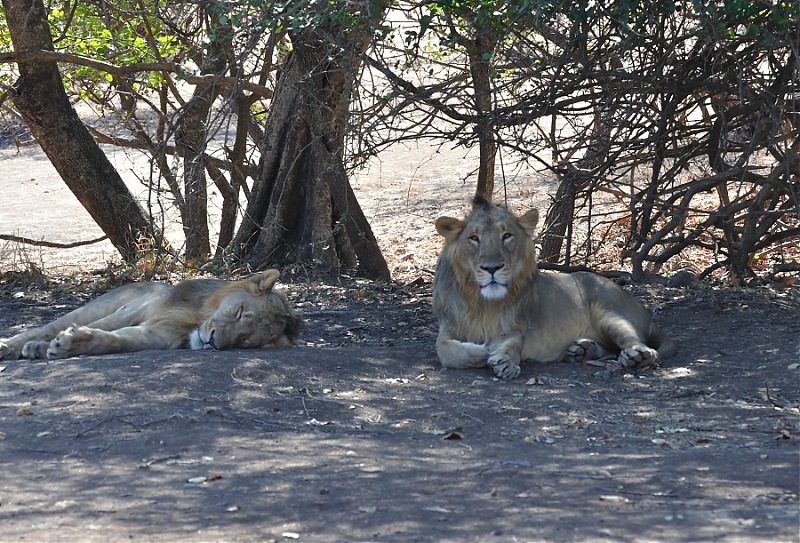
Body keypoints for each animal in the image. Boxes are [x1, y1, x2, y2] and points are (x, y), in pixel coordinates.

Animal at [0, 268, 300, 362]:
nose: (213, 341)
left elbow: (113, 340)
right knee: (46, 327)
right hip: (101, 304)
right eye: (239, 312)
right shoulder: (135, 310)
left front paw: (71, 344)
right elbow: (104, 325)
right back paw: (11, 347)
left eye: (245, 341)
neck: (196, 319)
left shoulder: (155, 336)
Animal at [434, 198, 680, 380]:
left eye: (507, 236)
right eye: (474, 238)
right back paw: (581, 349)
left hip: (609, 313)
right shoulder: (448, 326)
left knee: (639, 345)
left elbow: (512, 346)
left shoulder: (515, 328)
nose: (492, 268)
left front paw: (503, 360)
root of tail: (642, 310)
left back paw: (636, 356)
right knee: (610, 349)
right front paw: (483, 350)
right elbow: (447, 351)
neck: (483, 303)